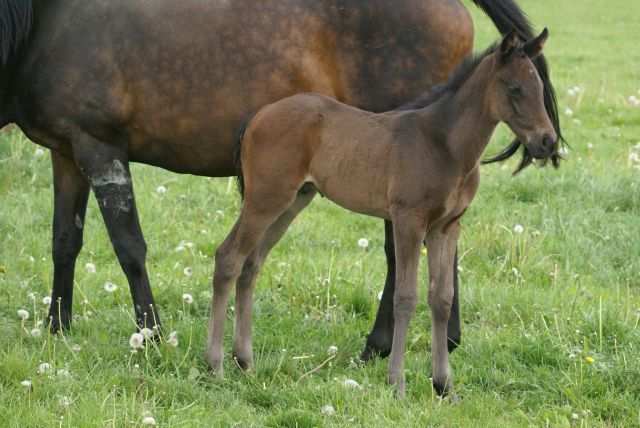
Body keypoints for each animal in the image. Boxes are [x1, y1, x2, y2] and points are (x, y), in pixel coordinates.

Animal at [205, 30, 556, 396]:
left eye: (540, 88)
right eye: (514, 89)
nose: (547, 141)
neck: (443, 143)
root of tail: (257, 116)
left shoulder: (447, 226)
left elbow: (442, 299)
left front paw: (444, 386)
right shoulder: (408, 221)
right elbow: (405, 296)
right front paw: (397, 382)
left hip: (292, 201)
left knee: (251, 264)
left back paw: (245, 361)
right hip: (265, 198)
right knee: (229, 257)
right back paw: (215, 363)